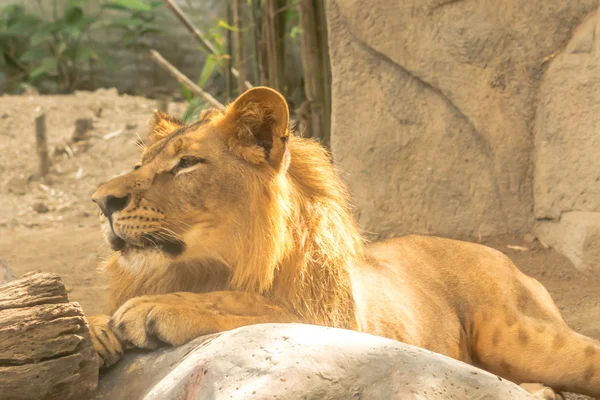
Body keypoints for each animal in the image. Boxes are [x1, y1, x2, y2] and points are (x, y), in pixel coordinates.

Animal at [89, 86, 600, 396]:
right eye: (140, 164)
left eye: (187, 164)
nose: (101, 201)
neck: (202, 265)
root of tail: (505, 257)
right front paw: (95, 327)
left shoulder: (337, 328)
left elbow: (250, 304)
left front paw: (154, 309)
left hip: (518, 336)